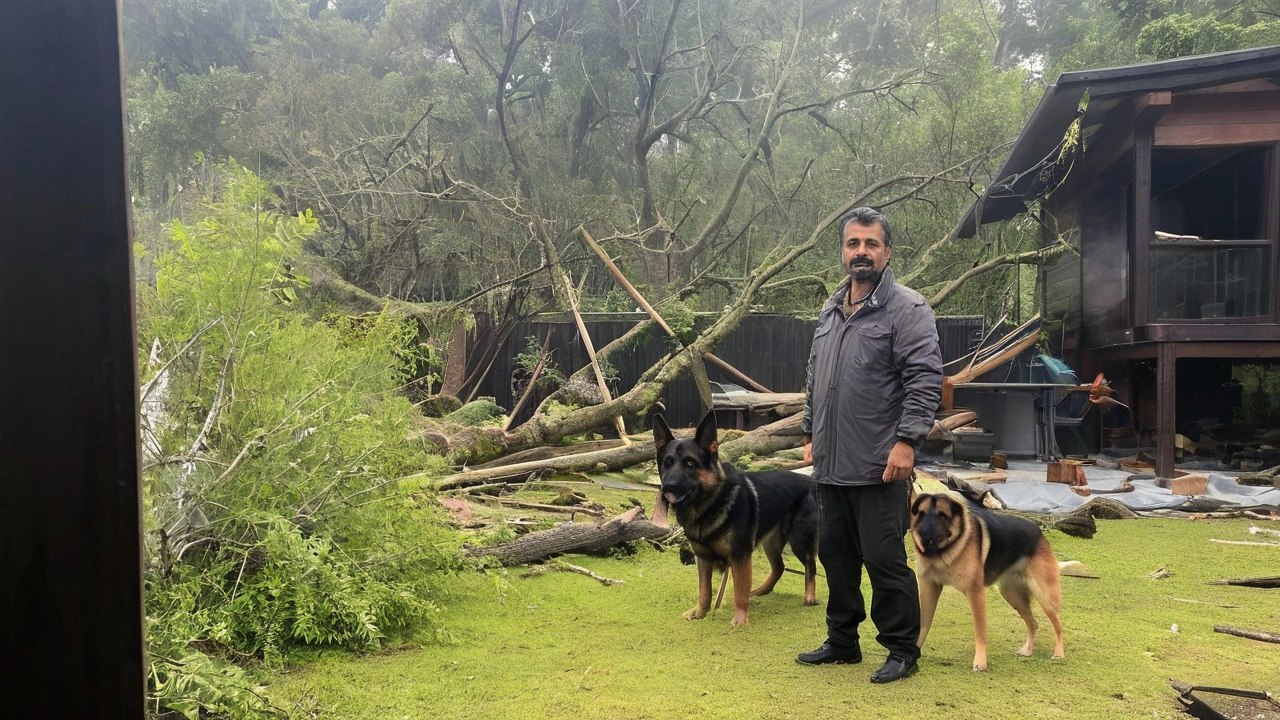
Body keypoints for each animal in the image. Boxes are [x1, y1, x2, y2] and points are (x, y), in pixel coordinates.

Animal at [650, 412, 819, 625]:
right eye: (667, 462)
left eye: (690, 463)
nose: (668, 487)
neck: (710, 505)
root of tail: (809, 480)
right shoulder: (703, 559)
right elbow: (704, 591)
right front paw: (700, 613)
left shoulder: (740, 557)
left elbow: (739, 591)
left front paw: (739, 622)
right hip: (771, 543)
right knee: (779, 567)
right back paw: (762, 590)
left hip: (799, 540)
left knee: (810, 566)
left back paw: (809, 597)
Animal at [911, 489, 1070, 671]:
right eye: (921, 514)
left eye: (942, 515)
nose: (924, 538)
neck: (946, 550)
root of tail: (1037, 530)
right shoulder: (929, 588)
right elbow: (923, 625)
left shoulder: (976, 593)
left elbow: (980, 630)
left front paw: (980, 662)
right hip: (1013, 597)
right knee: (1033, 624)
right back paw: (1027, 650)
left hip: (1045, 597)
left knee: (1058, 625)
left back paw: (1058, 653)